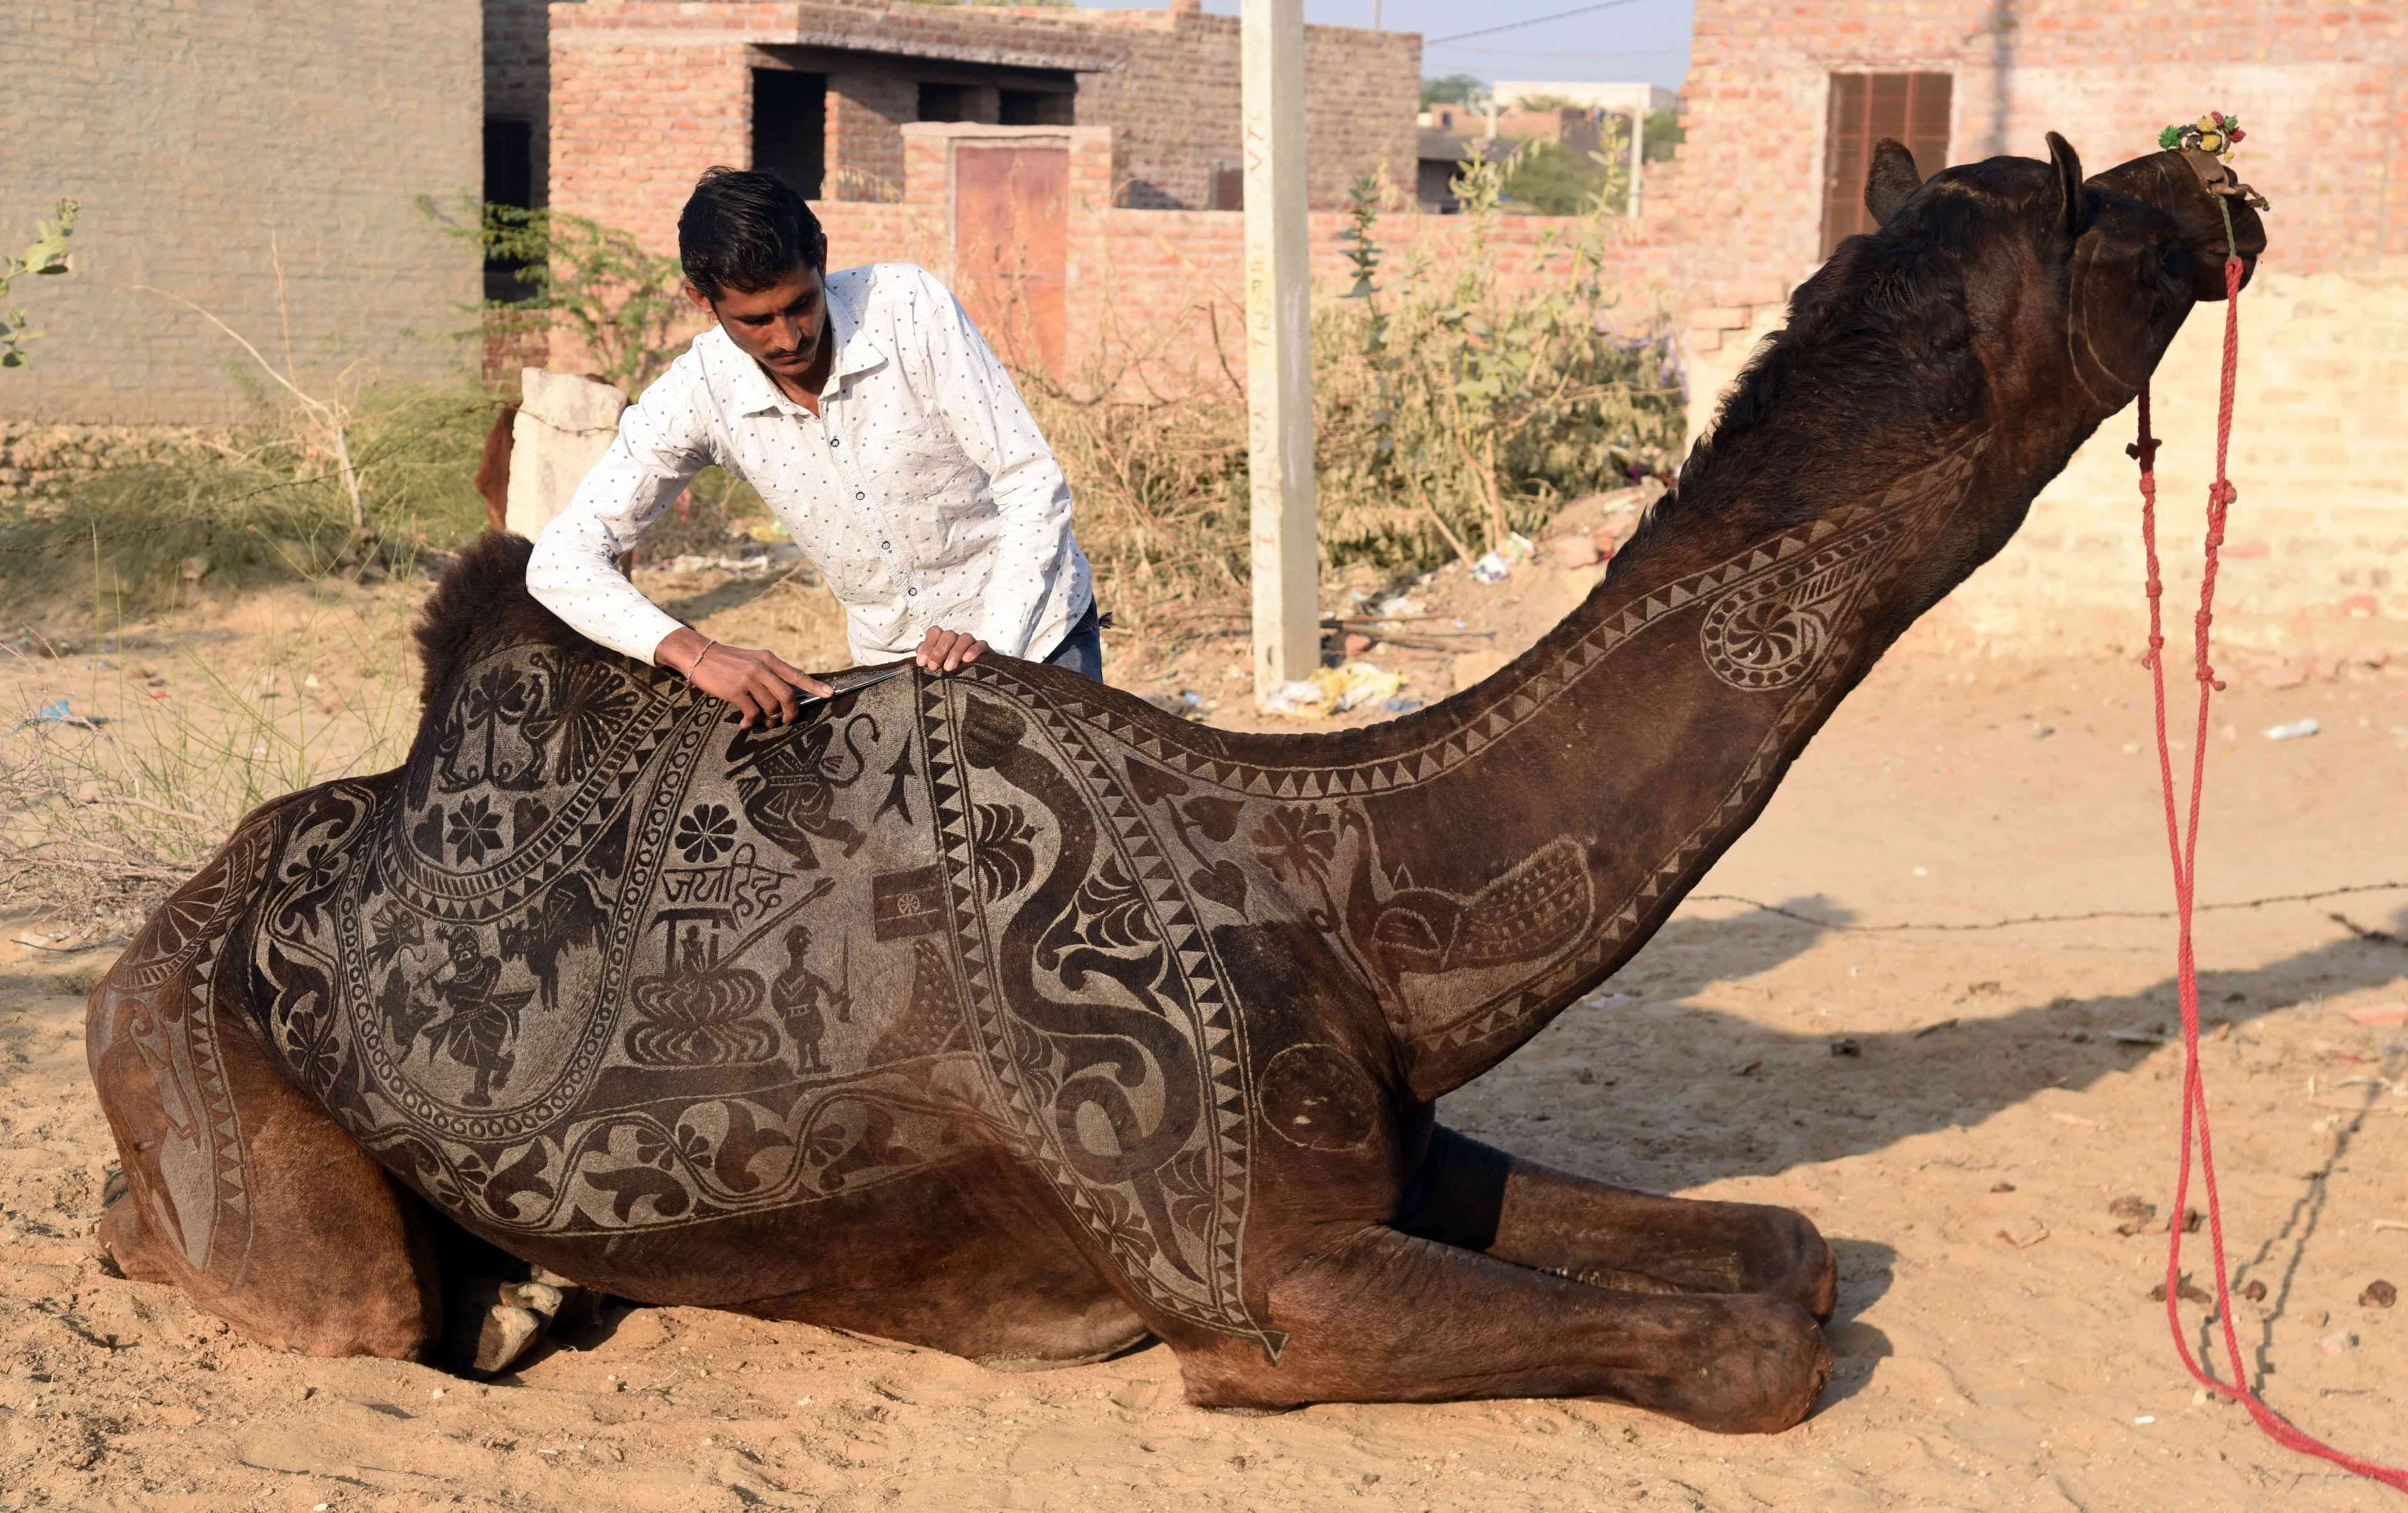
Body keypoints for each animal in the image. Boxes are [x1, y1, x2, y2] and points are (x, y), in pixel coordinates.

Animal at [80, 139, 2254, 1426]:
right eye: (2102, 206)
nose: (2227, 186)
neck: (1340, 873)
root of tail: (176, 906)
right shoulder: (1258, 1276)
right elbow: (1747, 1349)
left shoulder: (1383, 1144)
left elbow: (1785, 1249)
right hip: (186, 1053)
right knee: (316, 1290)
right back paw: (476, 1299)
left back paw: (528, 1285)